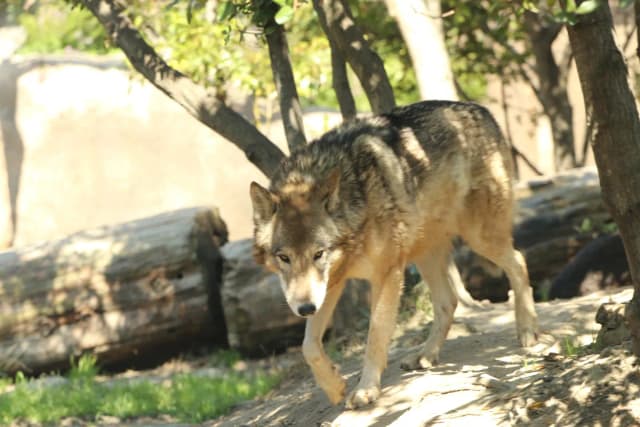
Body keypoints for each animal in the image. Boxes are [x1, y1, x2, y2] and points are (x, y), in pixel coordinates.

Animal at [249, 100, 539, 409]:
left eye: (319, 253)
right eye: (284, 257)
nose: (304, 309)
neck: (357, 203)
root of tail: (481, 109)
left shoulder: (387, 273)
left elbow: (375, 335)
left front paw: (366, 390)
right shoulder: (331, 284)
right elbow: (309, 346)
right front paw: (334, 387)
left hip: (479, 237)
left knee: (519, 261)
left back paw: (528, 330)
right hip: (426, 253)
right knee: (448, 302)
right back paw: (424, 356)